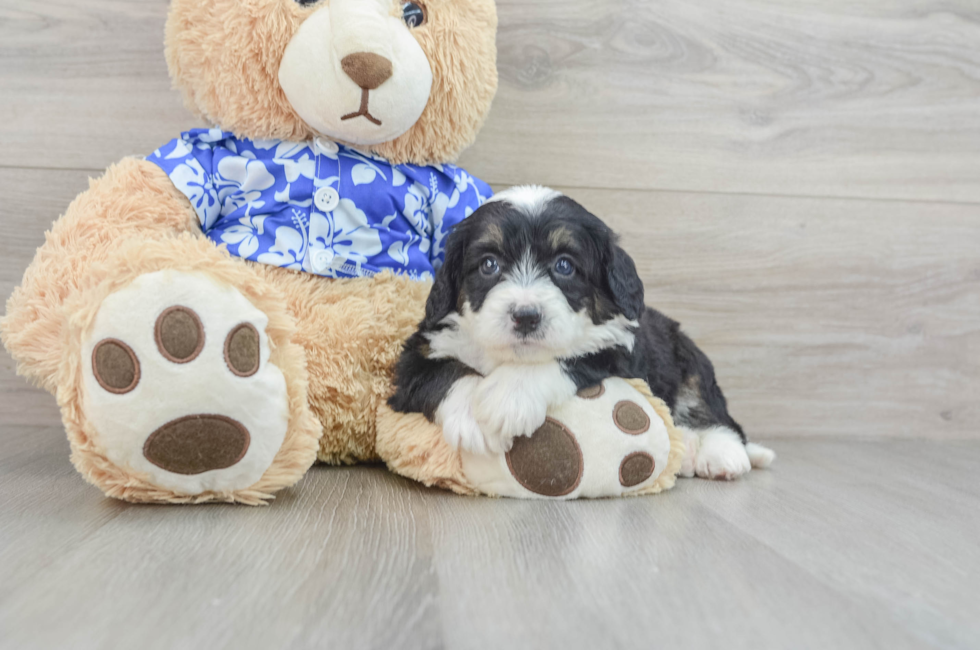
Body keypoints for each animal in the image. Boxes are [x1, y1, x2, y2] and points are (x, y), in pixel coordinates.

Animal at [386, 185, 776, 478]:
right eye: (488, 264)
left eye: (564, 266)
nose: (526, 316)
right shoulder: (420, 352)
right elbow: (444, 372)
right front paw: (473, 417)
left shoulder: (619, 348)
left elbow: (573, 357)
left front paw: (508, 398)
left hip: (690, 361)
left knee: (715, 413)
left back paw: (719, 452)